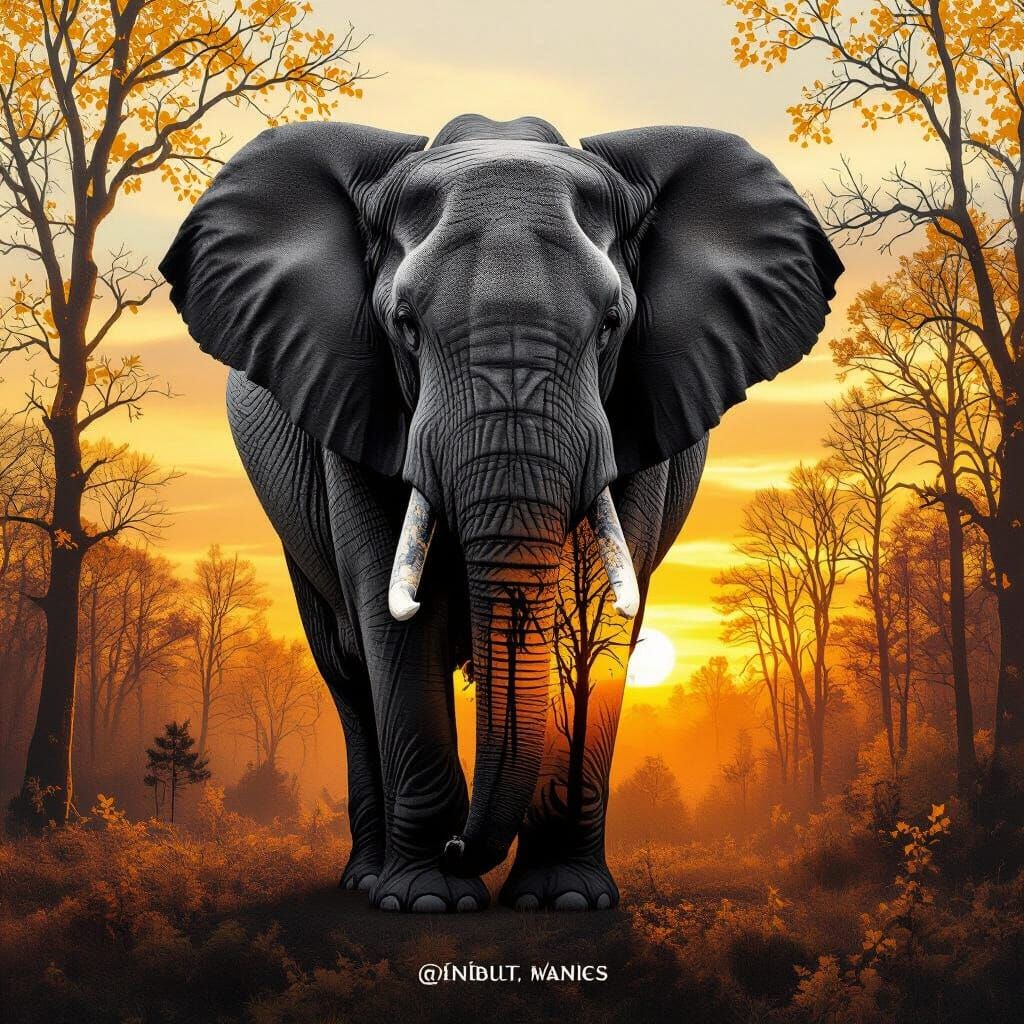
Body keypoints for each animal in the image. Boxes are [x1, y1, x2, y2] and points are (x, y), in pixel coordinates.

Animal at [159, 112, 842, 913]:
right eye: (404, 324)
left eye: (611, 324)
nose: (460, 845)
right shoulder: (352, 400)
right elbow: (398, 618)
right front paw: (426, 901)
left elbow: (598, 619)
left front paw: (563, 900)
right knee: (349, 670)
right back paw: (367, 878)